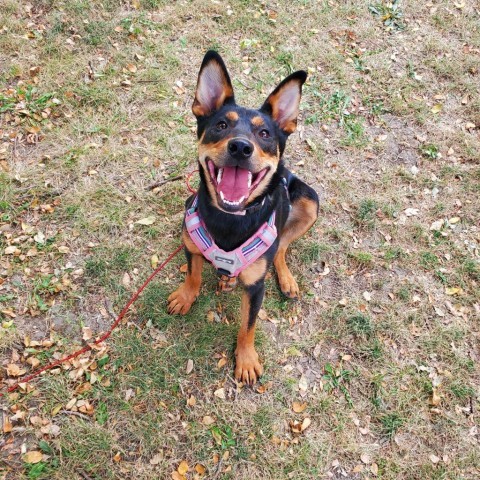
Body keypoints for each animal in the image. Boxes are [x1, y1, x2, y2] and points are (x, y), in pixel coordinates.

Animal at [168, 50, 318, 384]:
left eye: (264, 133)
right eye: (221, 125)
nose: (240, 147)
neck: (230, 218)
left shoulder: (256, 286)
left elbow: (248, 325)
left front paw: (246, 360)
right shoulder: (191, 241)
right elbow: (193, 273)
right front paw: (185, 296)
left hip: (310, 201)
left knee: (281, 247)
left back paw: (286, 279)